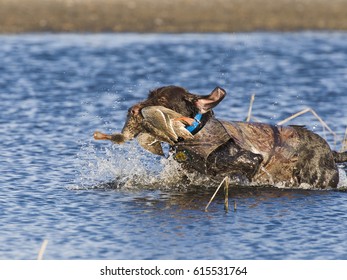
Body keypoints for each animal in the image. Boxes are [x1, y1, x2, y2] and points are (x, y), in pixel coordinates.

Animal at [94, 85, 346, 189]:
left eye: (163, 101)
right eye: (149, 95)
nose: (134, 110)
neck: (196, 133)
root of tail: (330, 151)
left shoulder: (251, 162)